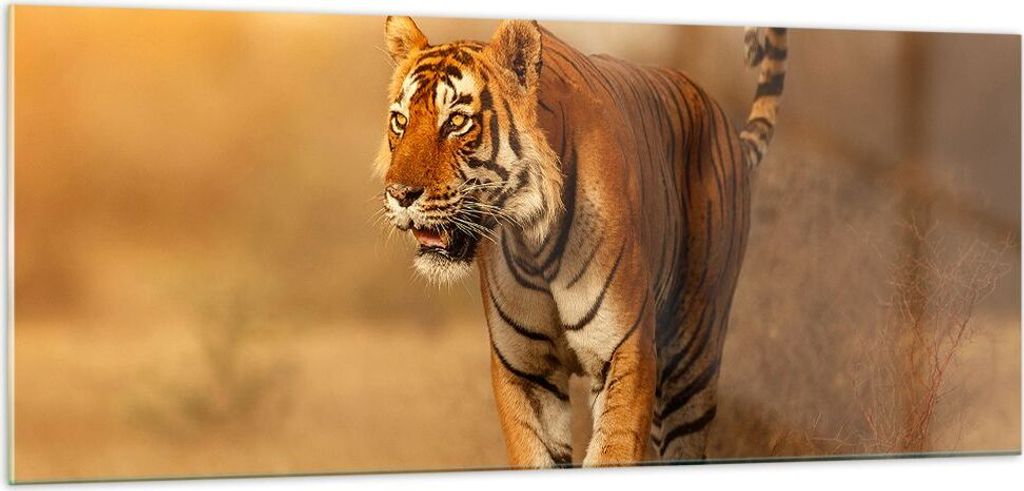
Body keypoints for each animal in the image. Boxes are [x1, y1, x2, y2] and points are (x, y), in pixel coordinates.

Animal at [374, 16, 787, 467]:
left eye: (456, 122)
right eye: (400, 121)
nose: (399, 193)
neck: (533, 240)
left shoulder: (625, 352)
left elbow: (612, 450)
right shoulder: (525, 370)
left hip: (692, 359)